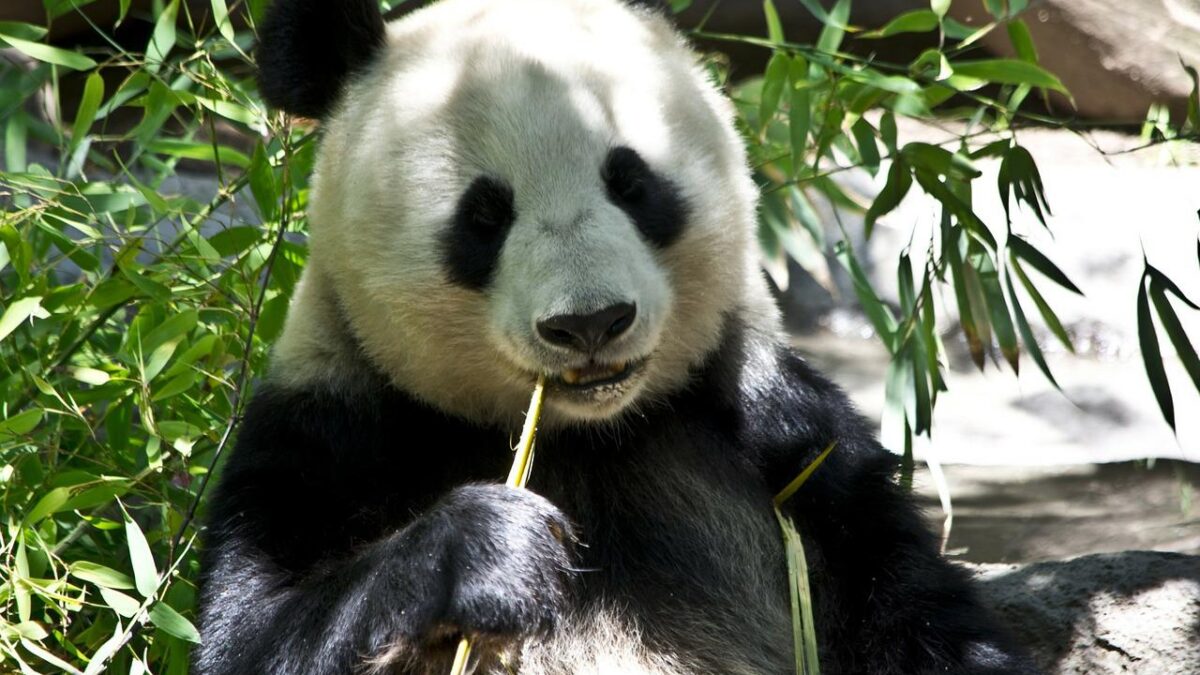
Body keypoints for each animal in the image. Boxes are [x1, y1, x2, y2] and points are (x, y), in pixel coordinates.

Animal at [195, 0, 1039, 673]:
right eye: (484, 216)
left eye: (633, 183)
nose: (590, 322)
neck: (587, 437)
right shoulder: (331, 431)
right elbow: (251, 633)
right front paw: (492, 546)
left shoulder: (786, 436)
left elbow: (914, 608)